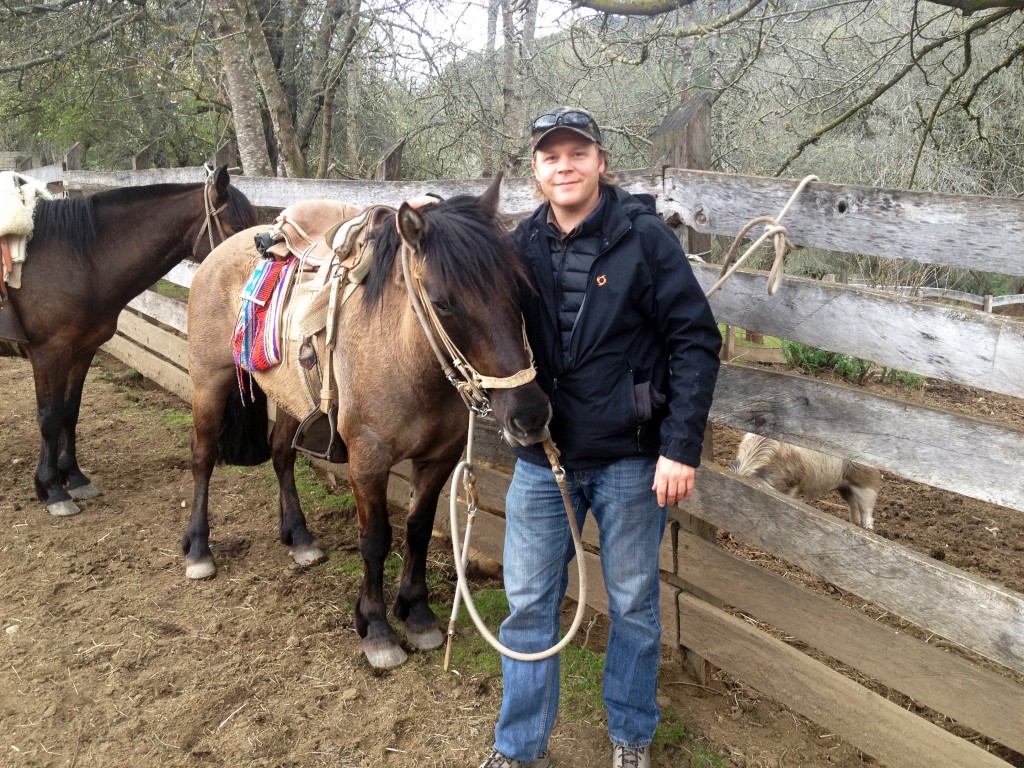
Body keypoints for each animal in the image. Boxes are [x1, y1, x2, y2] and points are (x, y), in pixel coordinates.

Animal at [1, 166, 258, 517]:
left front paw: (74, 478)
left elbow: (69, 410)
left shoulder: (82, 350)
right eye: (235, 228)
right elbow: (49, 417)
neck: (79, 257)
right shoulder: (48, 354)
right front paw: (52, 489)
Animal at [183, 176, 552, 669]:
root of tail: (220, 250)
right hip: (209, 379)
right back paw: (199, 549)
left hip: (290, 399)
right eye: (442, 303)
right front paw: (376, 628)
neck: (405, 355)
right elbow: (376, 538)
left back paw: (299, 538)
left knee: (281, 456)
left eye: (519, 289)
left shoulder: (438, 460)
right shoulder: (367, 461)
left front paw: (417, 613)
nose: (530, 415)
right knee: (203, 457)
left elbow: (417, 530)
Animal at [731, 432, 882, 529]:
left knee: (867, 508)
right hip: (844, 487)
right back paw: (853, 523)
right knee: (853, 504)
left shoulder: (792, 483)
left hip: (866, 481)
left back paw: (867, 528)